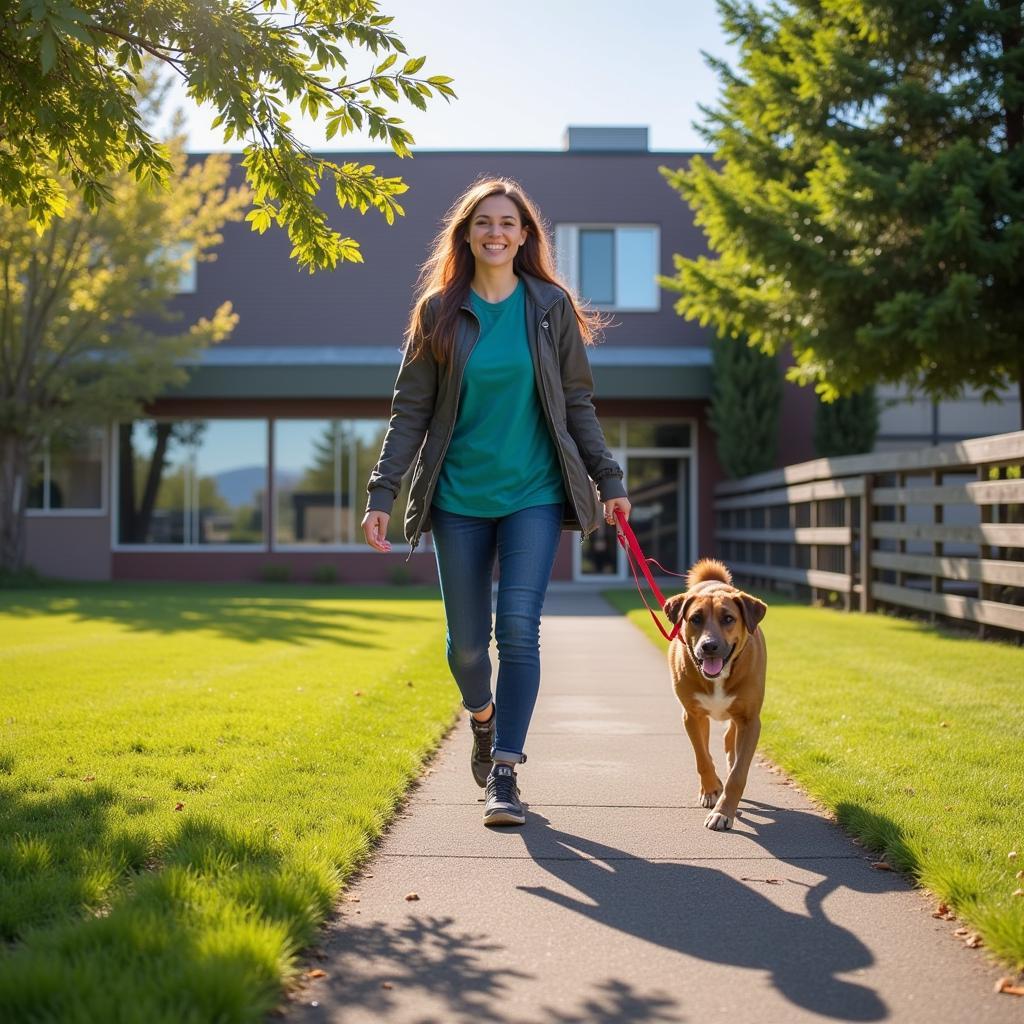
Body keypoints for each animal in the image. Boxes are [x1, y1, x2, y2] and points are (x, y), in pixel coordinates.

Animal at [663, 561, 770, 831]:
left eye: (728, 618)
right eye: (695, 618)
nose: (709, 646)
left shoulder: (750, 720)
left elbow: (738, 773)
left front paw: (724, 811)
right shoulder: (691, 715)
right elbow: (702, 757)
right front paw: (711, 790)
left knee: (730, 741)